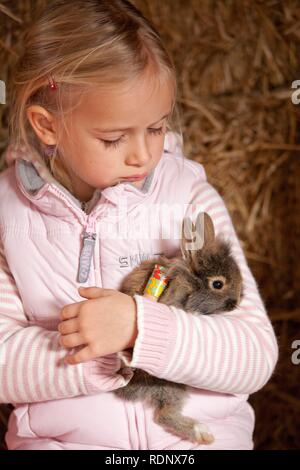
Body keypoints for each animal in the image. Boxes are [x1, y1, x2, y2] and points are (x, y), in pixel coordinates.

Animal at [113, 212, 243, 444]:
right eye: (218, 284)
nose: (236, 303)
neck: (191, 282)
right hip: (170, 385)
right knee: (163, 416)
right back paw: (202, 433)